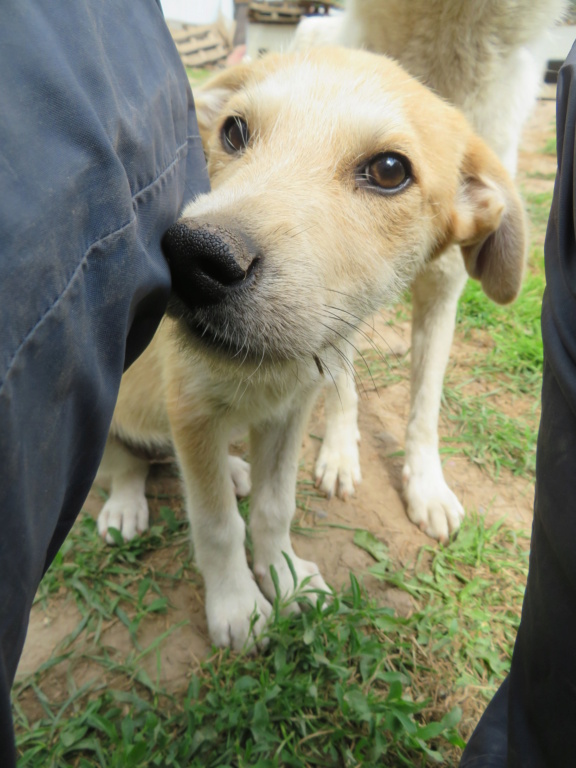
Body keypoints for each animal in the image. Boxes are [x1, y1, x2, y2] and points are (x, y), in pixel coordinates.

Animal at [95, 48, 528, 648]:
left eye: (390, 170)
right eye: (233, 130)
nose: (193, 258)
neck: (270, 374)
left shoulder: (289, 413)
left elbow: (274, 506)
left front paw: (284, 577)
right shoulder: (190, 405)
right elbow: (217, 522)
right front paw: (237, 604)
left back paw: (232, 470)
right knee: (125, 463)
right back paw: (124, 505)